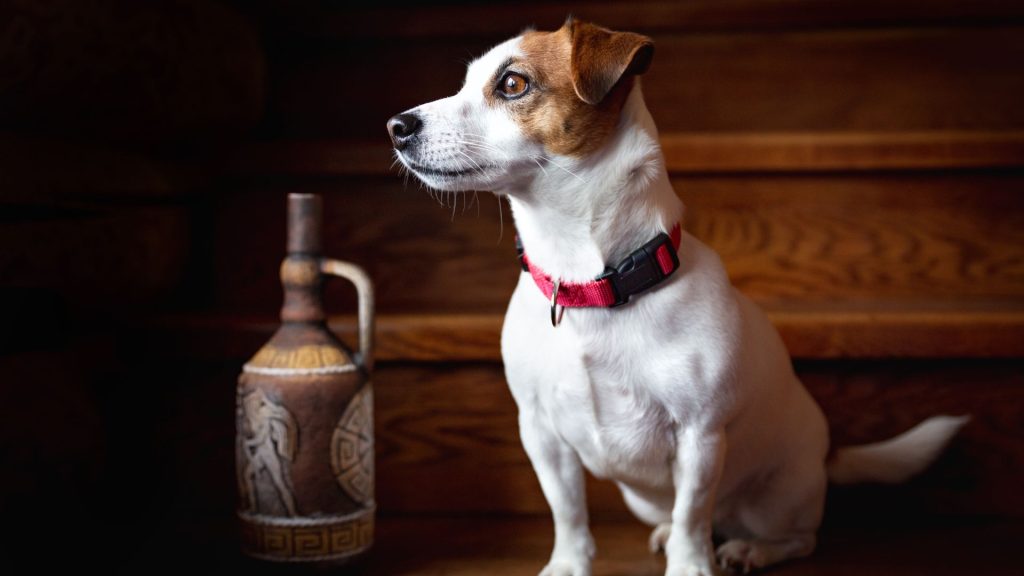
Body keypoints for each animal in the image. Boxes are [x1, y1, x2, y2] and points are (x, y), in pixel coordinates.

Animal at [385, 19, 966, 573]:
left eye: (512, 84)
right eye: (464, 82)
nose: (396, 126)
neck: (590, 283)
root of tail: (827, 457)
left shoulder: (699, 436)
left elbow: (693, 513)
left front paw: (691, 566)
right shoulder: (542, 436)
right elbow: (568, 513)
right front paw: (568, 565)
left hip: (776, 498)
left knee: (792, 536)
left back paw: (750, 550)